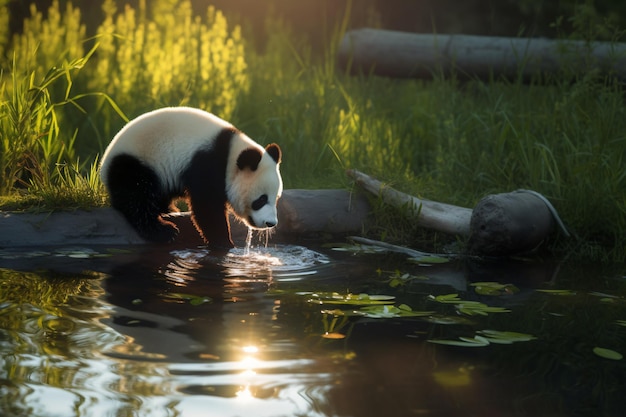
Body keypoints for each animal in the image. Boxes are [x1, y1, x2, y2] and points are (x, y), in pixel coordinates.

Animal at [100, 106, 282, 247]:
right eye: (261, 199)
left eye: (276, 198)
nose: (271, 223)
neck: (231, 153)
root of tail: (106, 160)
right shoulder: (205, 162)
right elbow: (207, 206)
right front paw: (224, 242)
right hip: (137, 162)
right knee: (137, 196)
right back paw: (165, 230)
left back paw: (169, 210)